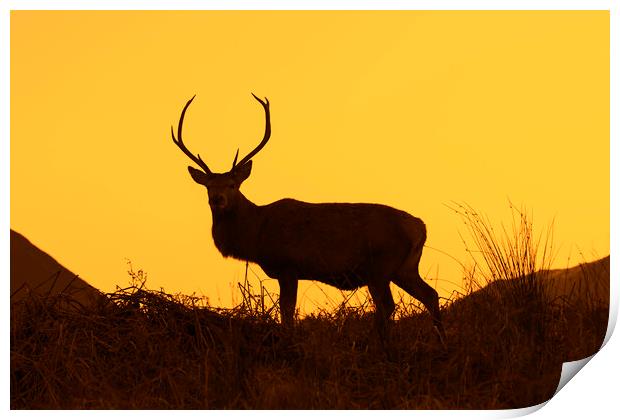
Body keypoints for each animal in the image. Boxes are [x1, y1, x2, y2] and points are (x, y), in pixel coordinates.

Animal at [171, 93, 446, 342]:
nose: (217, 199)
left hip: (380, 265)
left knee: (388, 306)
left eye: (232, 185)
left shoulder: (288, 265)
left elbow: (287, 313)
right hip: (404, 267)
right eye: (208, 186)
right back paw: (440, 341)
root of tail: (420, 227)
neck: (257, 234)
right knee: (430, 295)